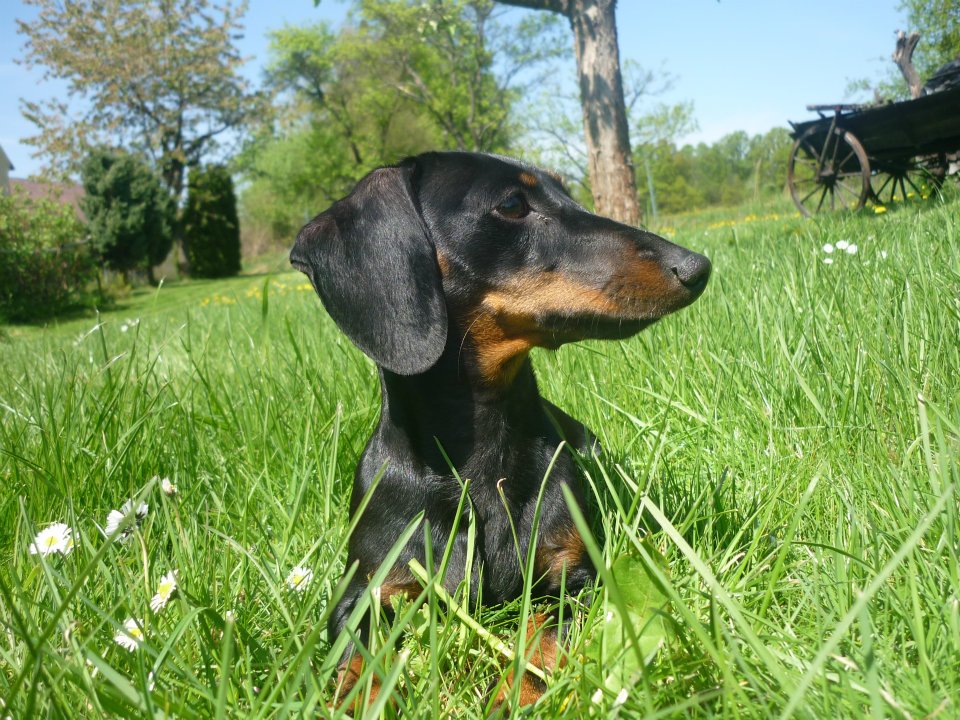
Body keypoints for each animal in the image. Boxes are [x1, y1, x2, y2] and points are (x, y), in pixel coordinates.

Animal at [290, 151, 710, 710]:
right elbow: (357, 661)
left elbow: (542, 634)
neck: (477, 470)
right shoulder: (361, 592)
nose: (697, 266)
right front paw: (361, 702)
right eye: (512, 204)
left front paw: (516, 694)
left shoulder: (575, 578)